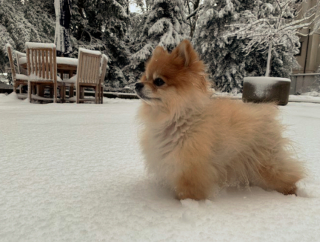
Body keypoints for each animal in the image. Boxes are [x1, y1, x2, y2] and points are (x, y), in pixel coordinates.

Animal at [135, 39, 304, 199]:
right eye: (145, 77)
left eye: (158, 81)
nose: (137, 84)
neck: (177, 118)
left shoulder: (191, 169)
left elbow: (187, 193)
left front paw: (184, 204)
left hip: (267, 164)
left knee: (289, 177)